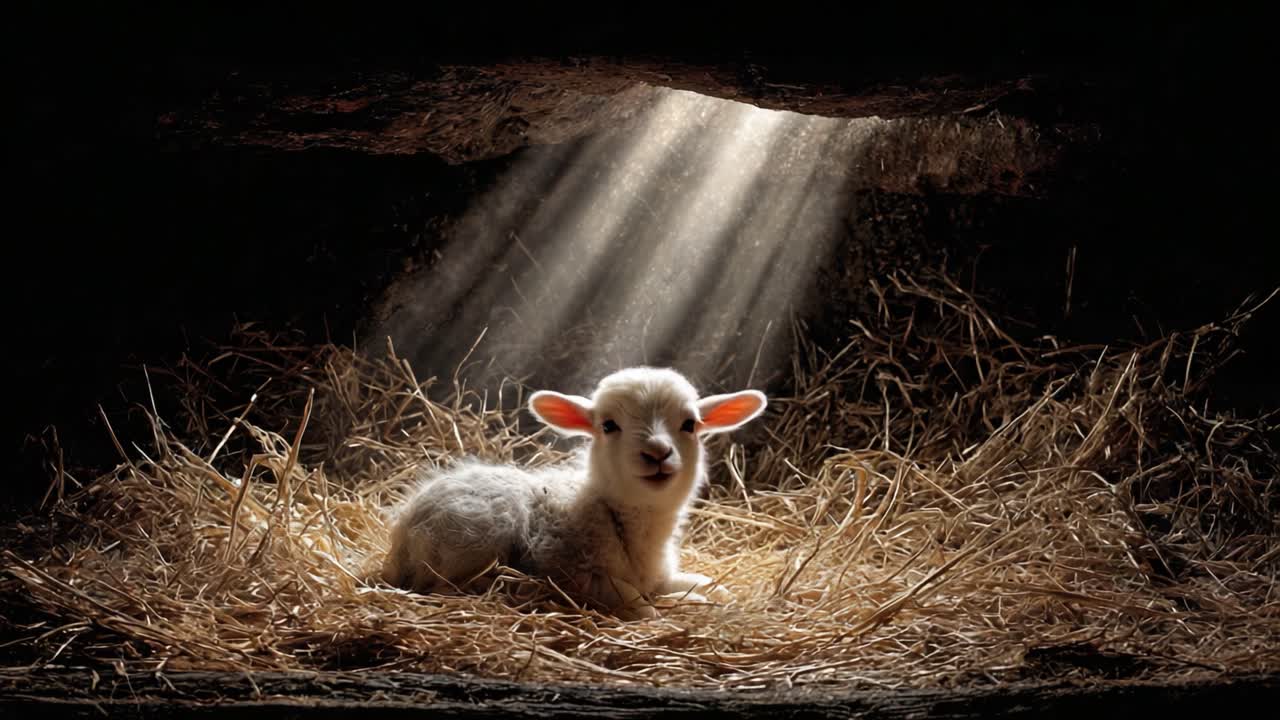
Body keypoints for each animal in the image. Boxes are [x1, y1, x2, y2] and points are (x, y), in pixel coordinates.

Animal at [380, 366, 768, 619]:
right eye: (608, 425)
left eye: (689, 424)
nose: (657, 452)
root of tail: (402, 537)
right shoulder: (571, 570)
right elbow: (638, 603)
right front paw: (671, 607)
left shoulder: (657, 575)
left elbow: (705, 584)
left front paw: (710, 593)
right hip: (478, 530)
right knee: (442, 588)